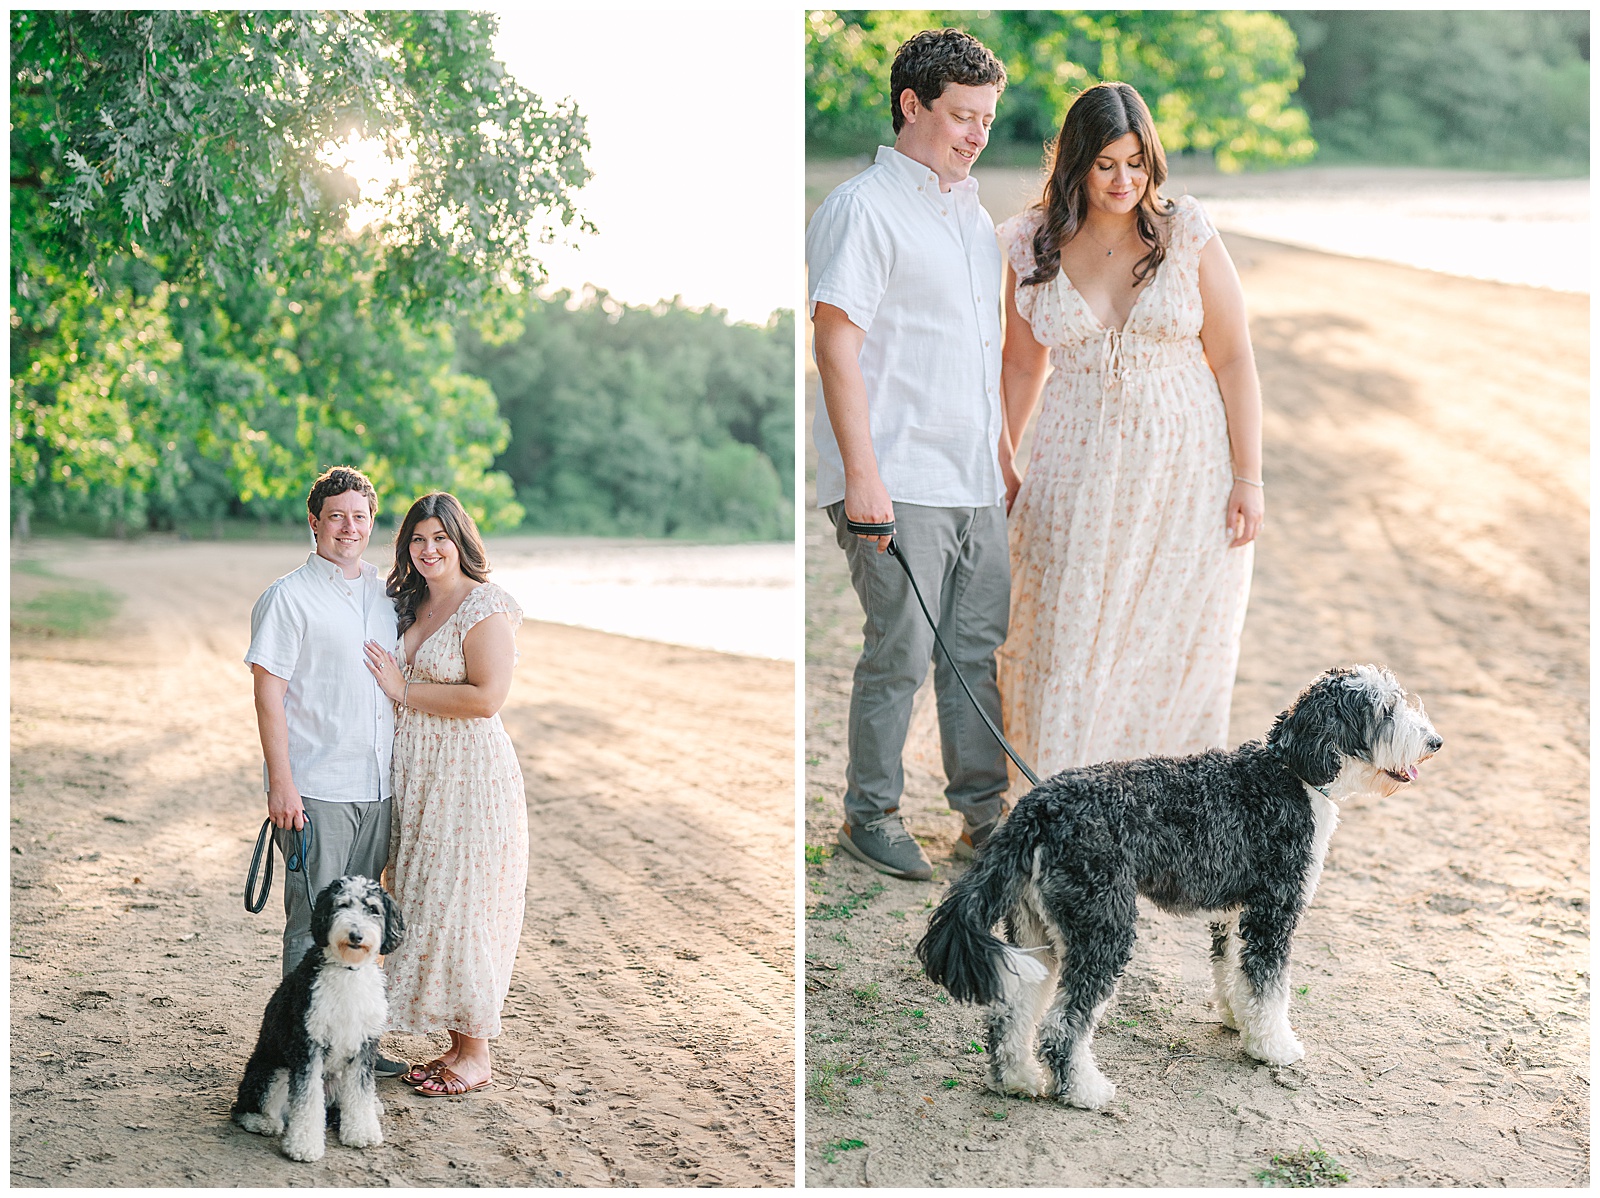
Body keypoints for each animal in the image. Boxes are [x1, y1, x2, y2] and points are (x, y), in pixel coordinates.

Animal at [233, 870, 403, 1158]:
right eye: (342, 904)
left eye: (373, 909)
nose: (356, 935)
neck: (348, 970)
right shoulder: (308, 1046)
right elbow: (307, 1100)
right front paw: (303, 1146)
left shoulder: (363, 1047)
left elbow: (361, 1093)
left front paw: (362, 1133)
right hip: (274, 1072)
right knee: (245, 1108)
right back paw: (263, 1122)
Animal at [921, 658, 1446, 1106]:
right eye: (1385, 710)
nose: (1436, 742)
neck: (1291, 773)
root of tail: (1039, 807)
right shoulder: (1274, 910)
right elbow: (1269, 985)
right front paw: (1274, 1046)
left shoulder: (1235, 914)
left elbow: (1233, 972)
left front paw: (1238, 1022)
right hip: (1103, 927)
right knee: (1062, 1025)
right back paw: (1085, 1091)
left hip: (1037, 932)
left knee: (1011, 1010)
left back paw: (1017, 1079)